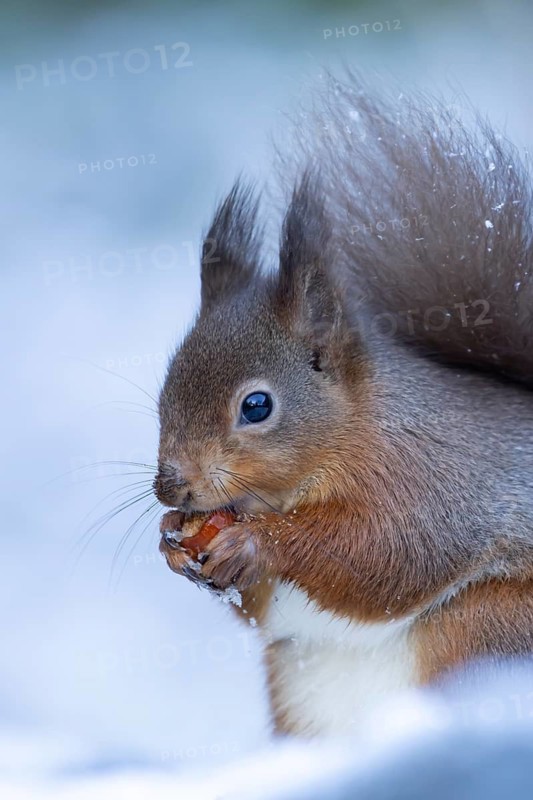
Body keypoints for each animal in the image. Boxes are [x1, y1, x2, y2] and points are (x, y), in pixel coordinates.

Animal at [155, 74, 533, 737]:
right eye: (163, 390)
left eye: (257, 406)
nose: (170, 486)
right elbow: (263, 608)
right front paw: (171, 540)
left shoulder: (430, 473)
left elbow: (386, 550)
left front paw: (259, 543)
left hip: (484, 627)